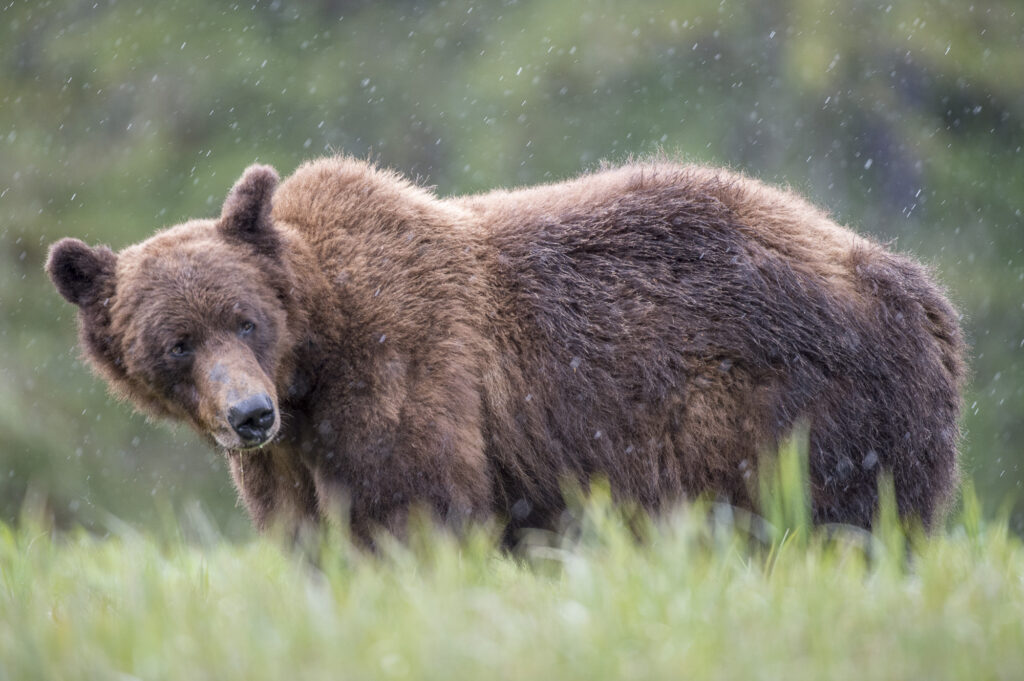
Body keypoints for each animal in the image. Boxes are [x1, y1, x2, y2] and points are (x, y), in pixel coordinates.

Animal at [46, 157, 966, 543]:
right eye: (175, 342)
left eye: (244, 319)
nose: (247, 413)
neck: (315, 360)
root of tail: (918, 288)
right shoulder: (289, 463)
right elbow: (312, 535)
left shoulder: (408, 376)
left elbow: (415, 512)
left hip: (806, 408)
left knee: (842, 521)